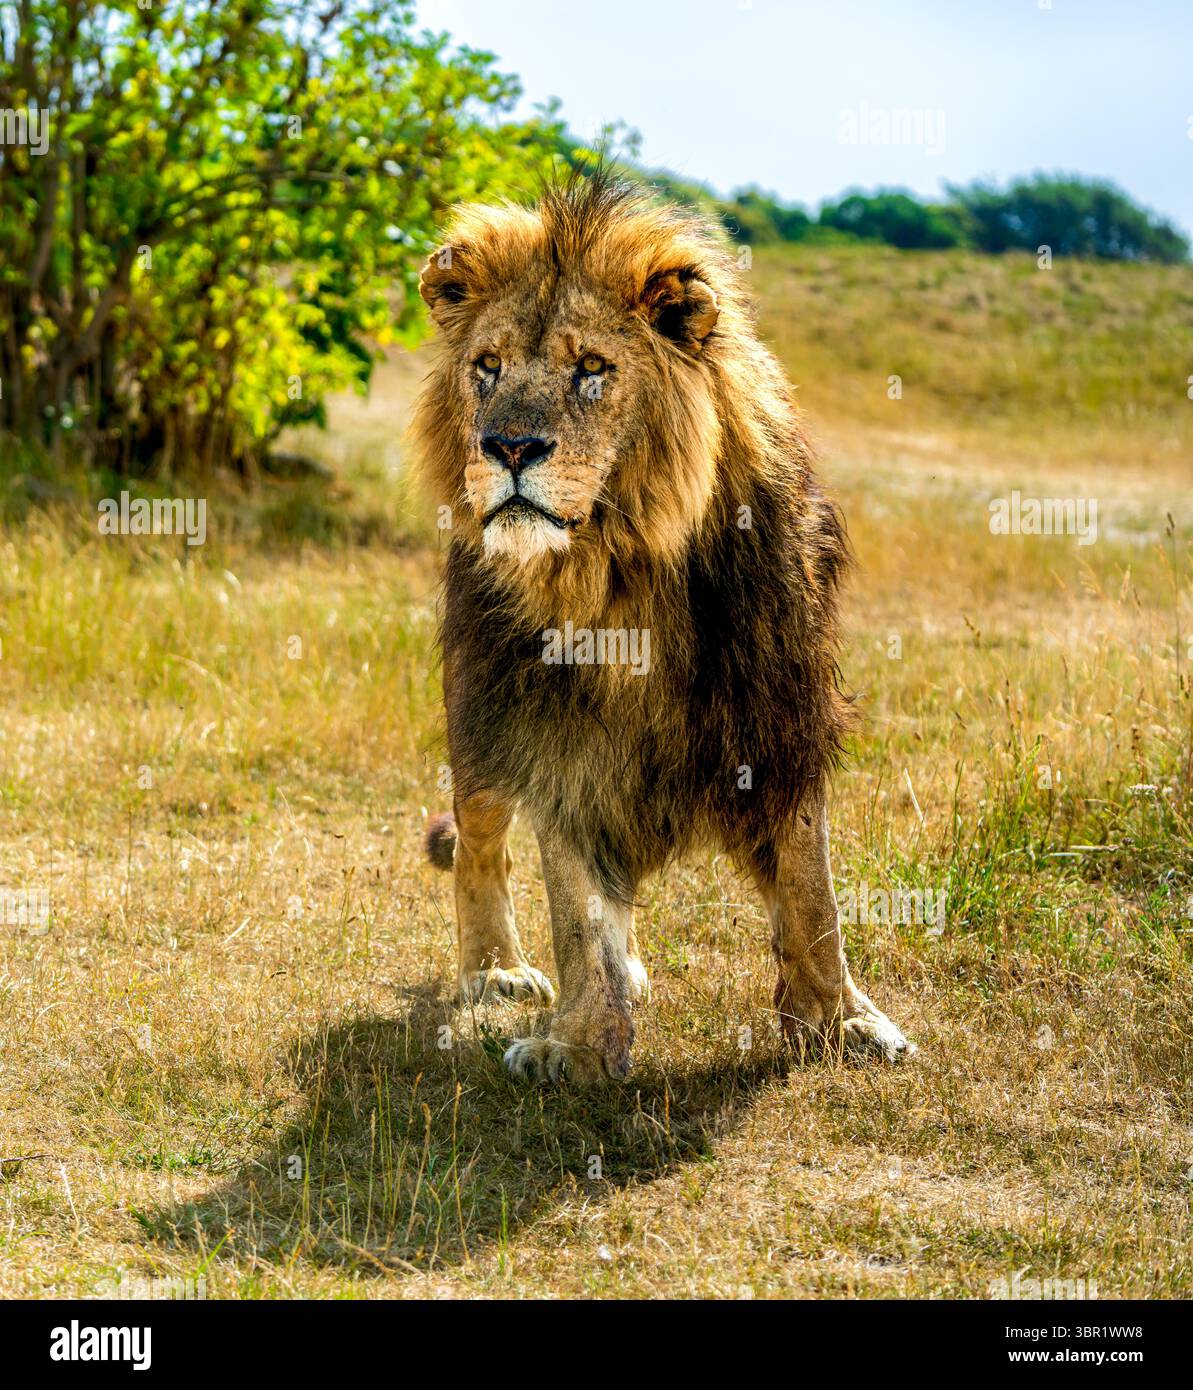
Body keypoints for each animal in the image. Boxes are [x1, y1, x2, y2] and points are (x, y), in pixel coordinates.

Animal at [413, 172, 913, 1084]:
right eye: (486, 367)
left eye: (591, 369)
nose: (507, 446)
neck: (615, 575)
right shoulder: (546, 728)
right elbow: (572, 901)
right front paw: (576, 1044)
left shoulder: (780, 715)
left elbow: (809, 887)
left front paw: (838, 1024)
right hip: (476, 706)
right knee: (482, 844)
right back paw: (496, 973)